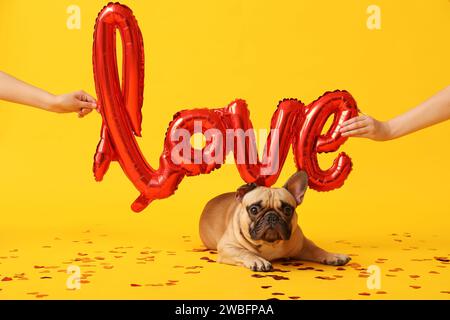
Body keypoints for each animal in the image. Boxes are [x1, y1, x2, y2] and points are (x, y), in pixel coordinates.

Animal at [200, 171, 352, 272]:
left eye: (287, 210)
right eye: (254, 210)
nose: (272, 216)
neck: (270, 244)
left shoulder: (303, 244)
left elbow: (317, 249)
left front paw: (333, 256)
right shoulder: (227, 247)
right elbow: (244, 252)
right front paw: (257, 260)